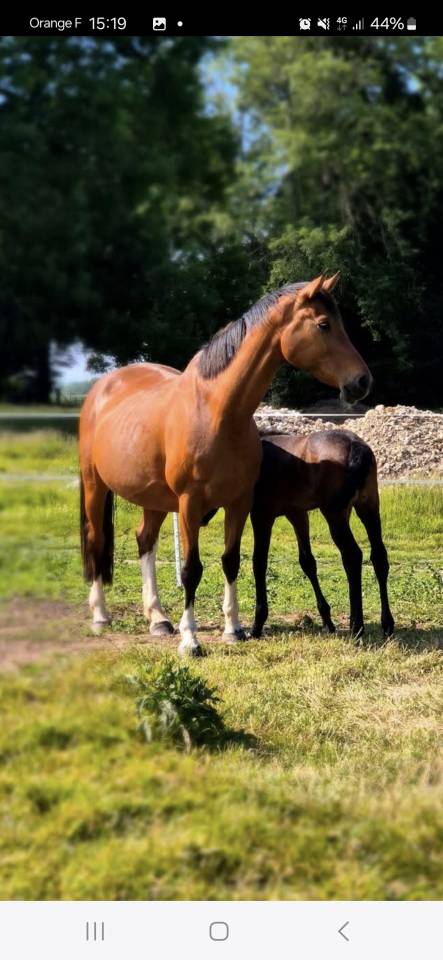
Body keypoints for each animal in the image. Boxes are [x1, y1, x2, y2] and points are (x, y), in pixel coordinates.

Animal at [79, 273, 372, 656]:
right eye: (324, 325)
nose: (362, 381)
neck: (217, 411)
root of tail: (102, 388)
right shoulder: (190, 504)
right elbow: (191, 569)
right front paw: (191, 641)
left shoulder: (239, 502)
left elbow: (231, 561)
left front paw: (233, 629)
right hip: (94, 485)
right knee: (97, 540)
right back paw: (101, 615)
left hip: (154, 498)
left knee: (145, 540)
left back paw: (158, 619)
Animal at [250, 430, 394, 639]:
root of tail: (355, 445)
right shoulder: (297, 513)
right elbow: (307, 561)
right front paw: (327, 620)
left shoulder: (261, 515)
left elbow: (259, 562)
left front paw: (257, 624)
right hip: (368, 506)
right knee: (379, 556)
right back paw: (387, 624)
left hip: (335, 514)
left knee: (352, 556)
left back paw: (356, 626)